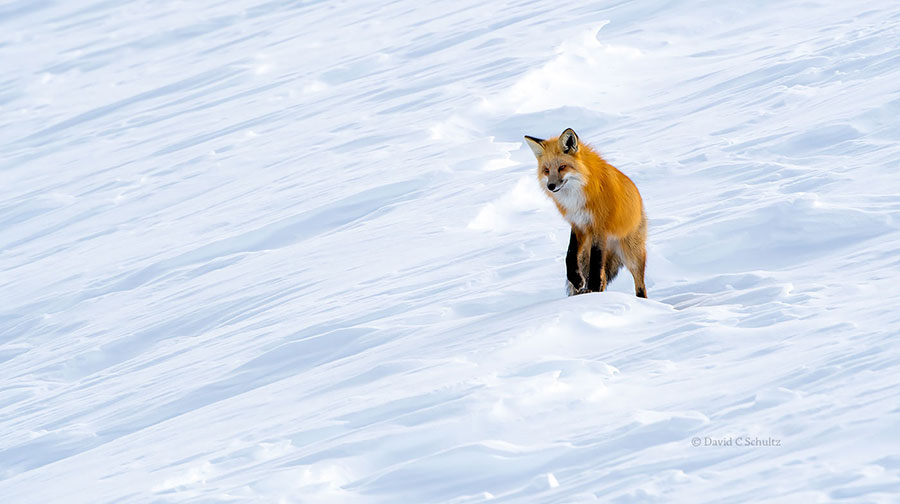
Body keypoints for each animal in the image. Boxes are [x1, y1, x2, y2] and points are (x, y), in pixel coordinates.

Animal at [524, 128, 652, 298]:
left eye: (562, 167)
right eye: (546, 170)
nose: (551, 186)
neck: (576, 197)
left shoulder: (598, 227)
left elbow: (595, 264)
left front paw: (592, 287)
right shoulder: (579, 225)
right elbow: (570, 256)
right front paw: (578, 281)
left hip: (632, 255)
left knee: (640, 284)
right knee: (603, 275)